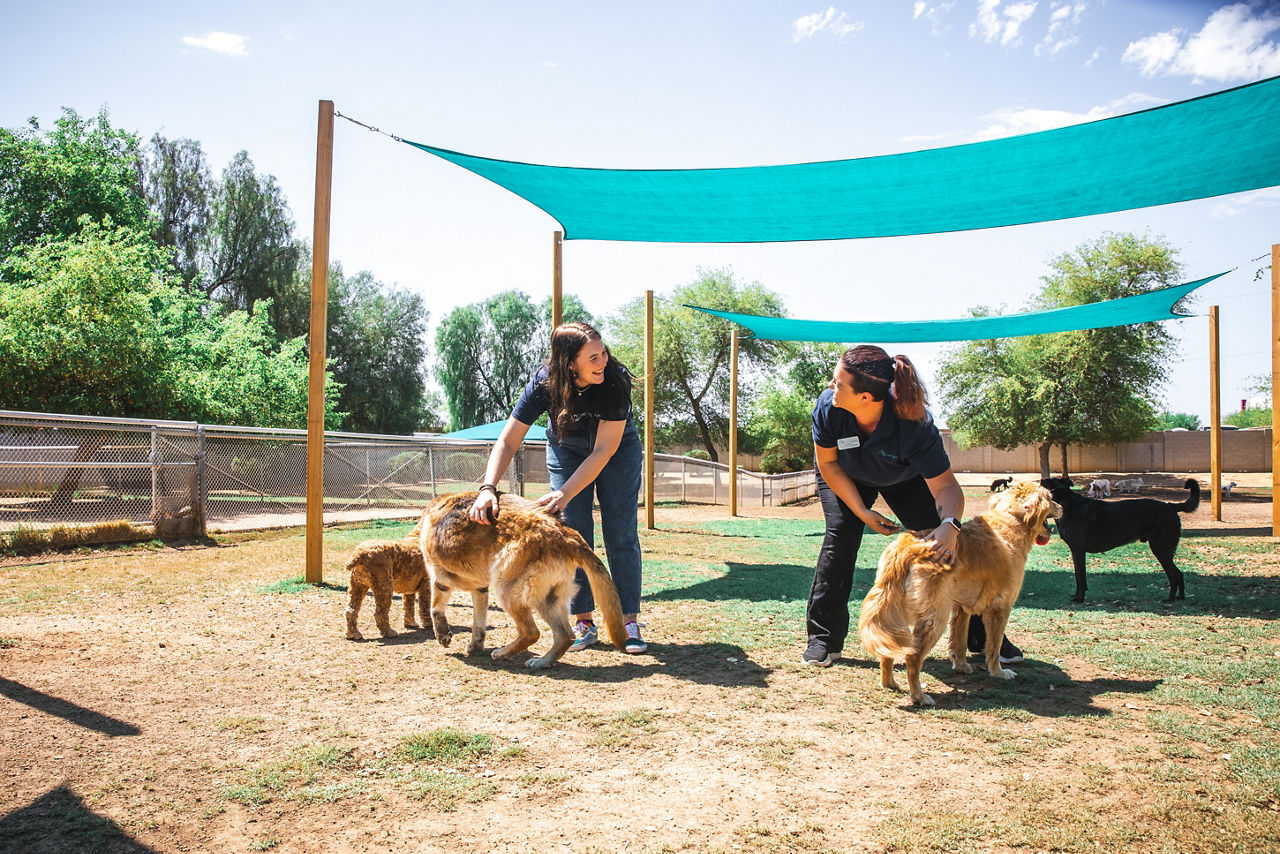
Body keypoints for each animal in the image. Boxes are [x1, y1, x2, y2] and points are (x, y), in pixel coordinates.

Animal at [419, 494, 624, 665]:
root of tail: (566, 534)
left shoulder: (439, 580)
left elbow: (434, 609)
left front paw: (442, 635)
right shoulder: (480, 589)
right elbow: (478, 625)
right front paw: (475, 645)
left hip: (506, 591)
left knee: (532, 633)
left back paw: (503, 653)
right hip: (548, 600)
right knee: (565, 636)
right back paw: (543, 662)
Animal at [860, 481, 1059, 706]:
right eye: (1051, 498)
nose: (1062, 507)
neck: (1010, 520)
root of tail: (905, 550)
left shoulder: (962, 608)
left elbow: (959, 642)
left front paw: (962, 667)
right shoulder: (1000, 609)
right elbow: (994, 647)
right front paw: (998, 673)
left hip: (895, 613)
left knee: (887, 651)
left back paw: (889, 683)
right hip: (935, 617)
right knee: (912, 657)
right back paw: (919, 696)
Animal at [1039, 478, 1198, 604]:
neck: (1065, 504)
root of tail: (1170, 505)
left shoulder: (1078, 551)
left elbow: (1080, 577)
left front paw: (1079, 598)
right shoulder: (1077, 551)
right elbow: (1080, 577)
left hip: (1161, 549)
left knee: (1175, 574)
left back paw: (1170, 599)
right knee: (1178, 574)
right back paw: (1179, 598)